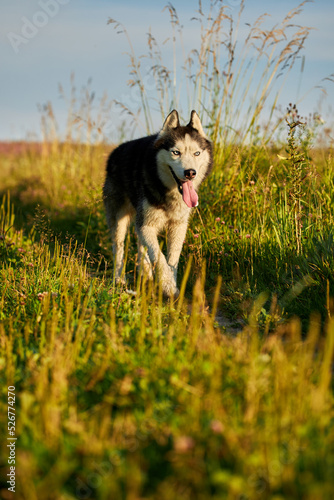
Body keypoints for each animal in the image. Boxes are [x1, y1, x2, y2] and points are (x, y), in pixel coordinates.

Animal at [103, 109, 214, 296]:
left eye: (197, 153)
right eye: (176, 152)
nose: (190, 172)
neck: (169, 193)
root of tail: (114, 152)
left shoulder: (178, 226)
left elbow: (172, 260)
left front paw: (171, 283)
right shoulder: (146, 225)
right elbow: (159, 257)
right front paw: (168, 286)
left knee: (141, 245)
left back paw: (146, 273)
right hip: (119, 219)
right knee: (118, 247)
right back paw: (119, 279)